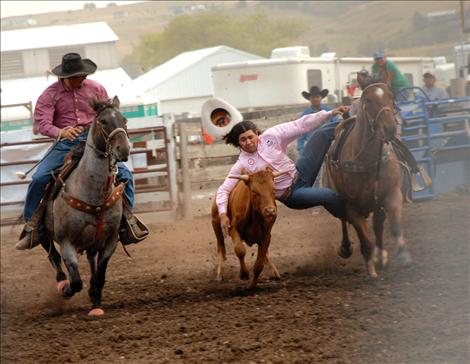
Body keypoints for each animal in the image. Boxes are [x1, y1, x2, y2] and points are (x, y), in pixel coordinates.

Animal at [39, 96, 129, 316]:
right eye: (103, 121)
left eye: (124, 119)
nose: (123, 150)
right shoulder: (67, 243)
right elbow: (76, 281)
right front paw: (67, 289)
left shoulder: (110, 241)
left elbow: (100, 275)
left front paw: (95, 301)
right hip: (44, 233)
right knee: (53, 255)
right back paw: (61, 282)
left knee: (90, 257)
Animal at [324, 83, 412, 278]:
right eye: (368, 100)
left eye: (392, 97)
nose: (389, 128)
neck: (367, 159)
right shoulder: (351, 208)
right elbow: (365, 241)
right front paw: (371, 270)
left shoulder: (392, 195)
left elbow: (395, 226)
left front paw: (402, 255)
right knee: (344, 222)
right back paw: (347, 248)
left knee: (378, 225)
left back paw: (381, 256)